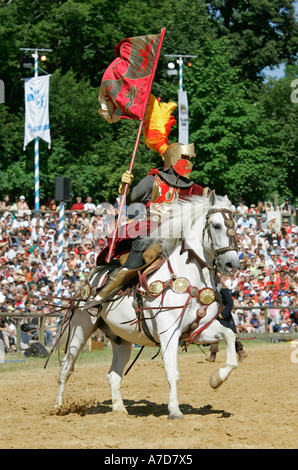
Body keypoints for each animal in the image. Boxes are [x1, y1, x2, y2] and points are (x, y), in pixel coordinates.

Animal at [53, 191, 240, 418]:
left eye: (235, 225)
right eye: (216, 225)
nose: (232, 263)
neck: (190, 277)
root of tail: (88, 280)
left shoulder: (198, 330)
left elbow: (229, 337)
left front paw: (216, 379)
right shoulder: (169, 333)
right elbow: (172, 372)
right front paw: (174, 410)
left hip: (121, 339)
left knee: (113, 374)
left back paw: (119, 408)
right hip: (80, 329)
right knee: (66, 367)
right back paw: (58, 406)